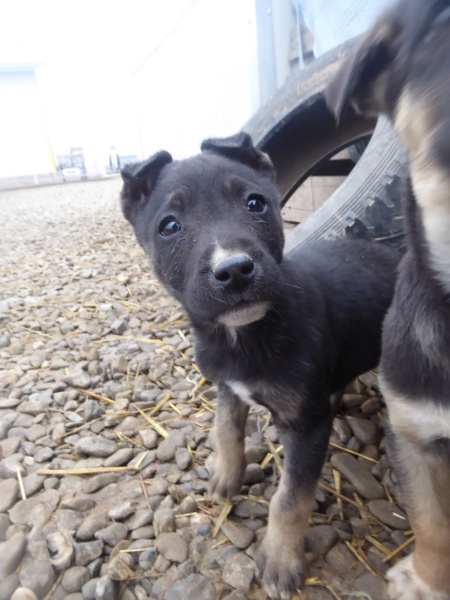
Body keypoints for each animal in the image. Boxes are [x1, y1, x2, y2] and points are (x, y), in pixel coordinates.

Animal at [119, 132, 398, 600]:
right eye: (170, 226)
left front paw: (281, 561)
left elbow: (291, 498)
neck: (244, 336)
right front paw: (226, 475)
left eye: (255, 203)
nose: (234, 270)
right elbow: (227, 430)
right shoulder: (228, 387)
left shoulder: (308, 426)